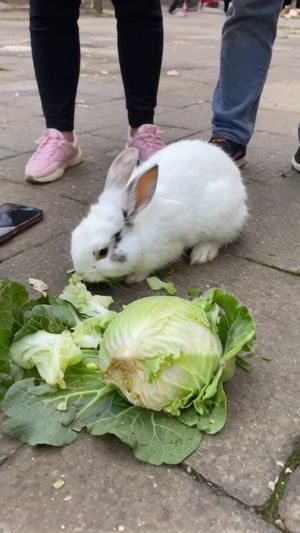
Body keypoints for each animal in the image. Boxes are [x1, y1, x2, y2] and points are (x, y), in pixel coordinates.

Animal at [71, 139, 247, 284]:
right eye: (74, 235)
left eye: (102, 252)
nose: (80, 271)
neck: (140, 233)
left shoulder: (165, 250)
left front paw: (134, 277)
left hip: (223, 218)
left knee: (221, 238)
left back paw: (202, 253)